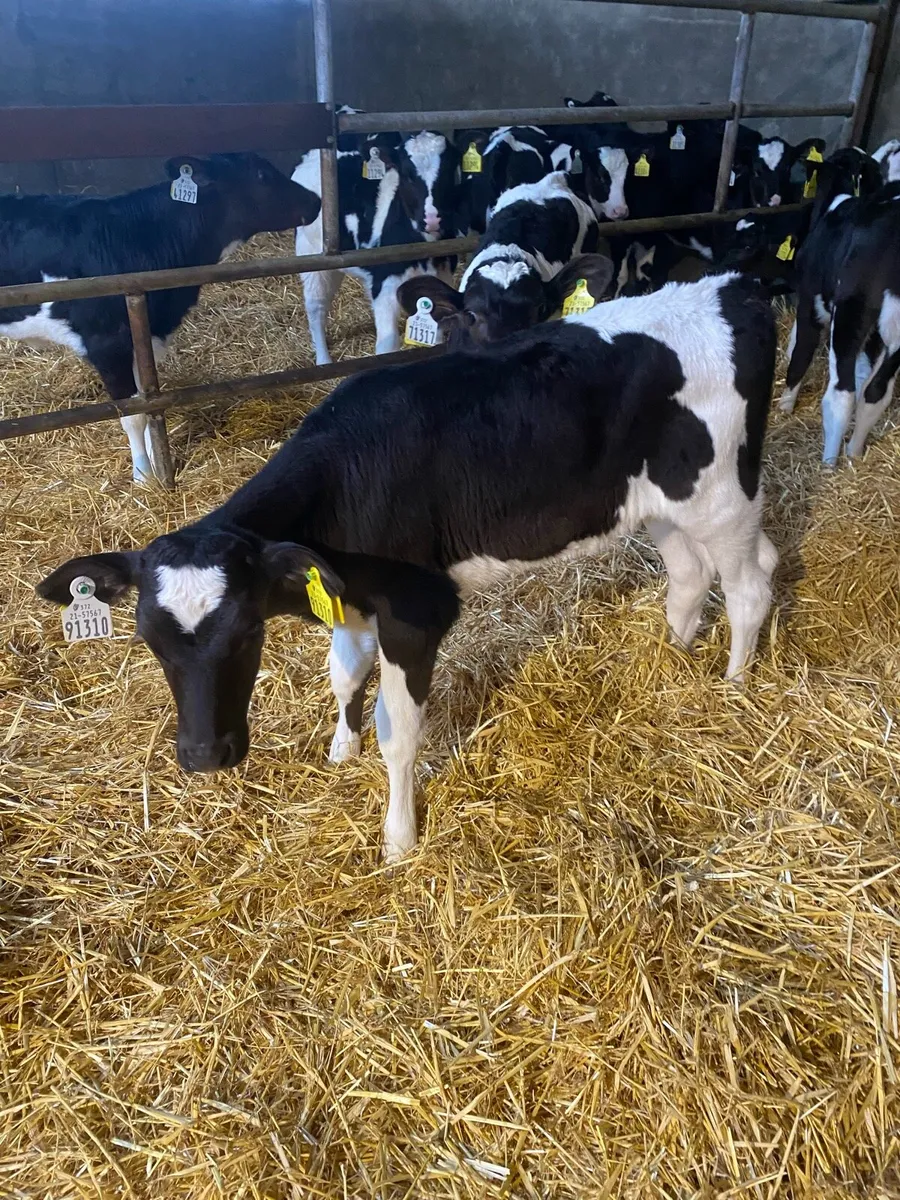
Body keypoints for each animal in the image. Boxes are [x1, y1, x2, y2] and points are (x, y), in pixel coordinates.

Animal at [0, 154, 320, 483]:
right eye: (261, 175)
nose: (316, 200)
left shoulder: (143, 338)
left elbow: (148, 400)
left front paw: (156, 460)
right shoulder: (106, 343)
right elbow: (132, 414)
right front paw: (144, 476)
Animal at [39, 271, 777, 864]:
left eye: (247, 631)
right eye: (149, 640)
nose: (202, 756)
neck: (347, 477)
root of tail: (733, 288)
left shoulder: (417, 610)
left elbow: (400, 734)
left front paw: (399, 838)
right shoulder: (347, 592)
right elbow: (343, 672)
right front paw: (341, 748)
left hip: (724, 495)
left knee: (750, 582)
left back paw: (735, 683)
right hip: (660, 504)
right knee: (689, 575)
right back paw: (673, 658)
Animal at [293, 127, 461, 365]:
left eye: (448, 169)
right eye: (407, 174)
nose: (432, 219)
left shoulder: (442, 276)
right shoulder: (384, 284)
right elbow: (387, 344)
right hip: (312, 253)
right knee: (316, 305)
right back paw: (323, 359)